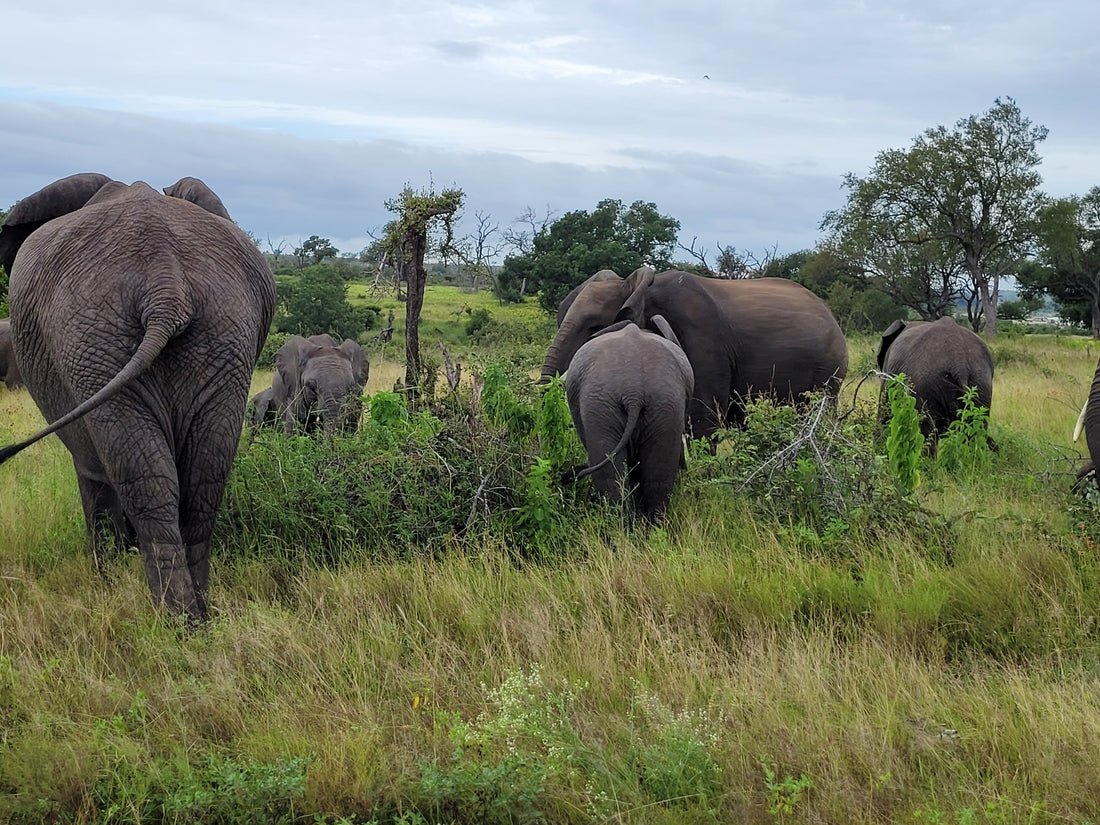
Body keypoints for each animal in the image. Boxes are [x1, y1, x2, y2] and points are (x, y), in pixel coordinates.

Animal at [0, 176, 275, 624]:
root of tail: (166, 289)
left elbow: (92, 476)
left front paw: (106, 579)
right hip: (221, 335)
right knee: (203, 479)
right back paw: (199, 617)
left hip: (92, 341)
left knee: (144, 480)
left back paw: (174, 622)